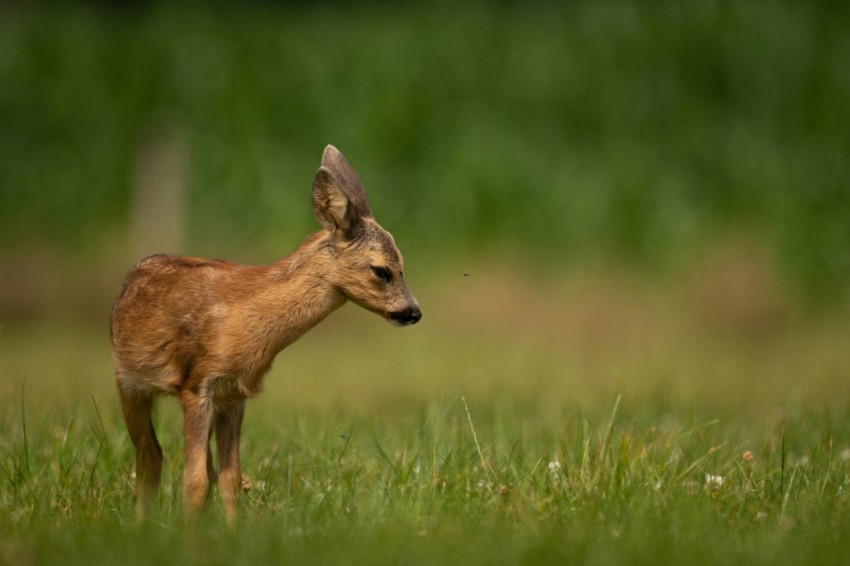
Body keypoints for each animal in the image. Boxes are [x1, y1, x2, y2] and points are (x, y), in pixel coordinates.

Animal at [110, 145, 421, 522]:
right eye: (381, 270)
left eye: (403, 263)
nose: (413, 312)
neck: (243, 324)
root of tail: (130, 279)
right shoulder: (197, 385)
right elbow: (195, 482)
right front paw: (190, 534)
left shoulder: (234, 393)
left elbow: (229, 478)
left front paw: (231, 530)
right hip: (128, 382)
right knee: (150, 457)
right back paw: (140, 525)